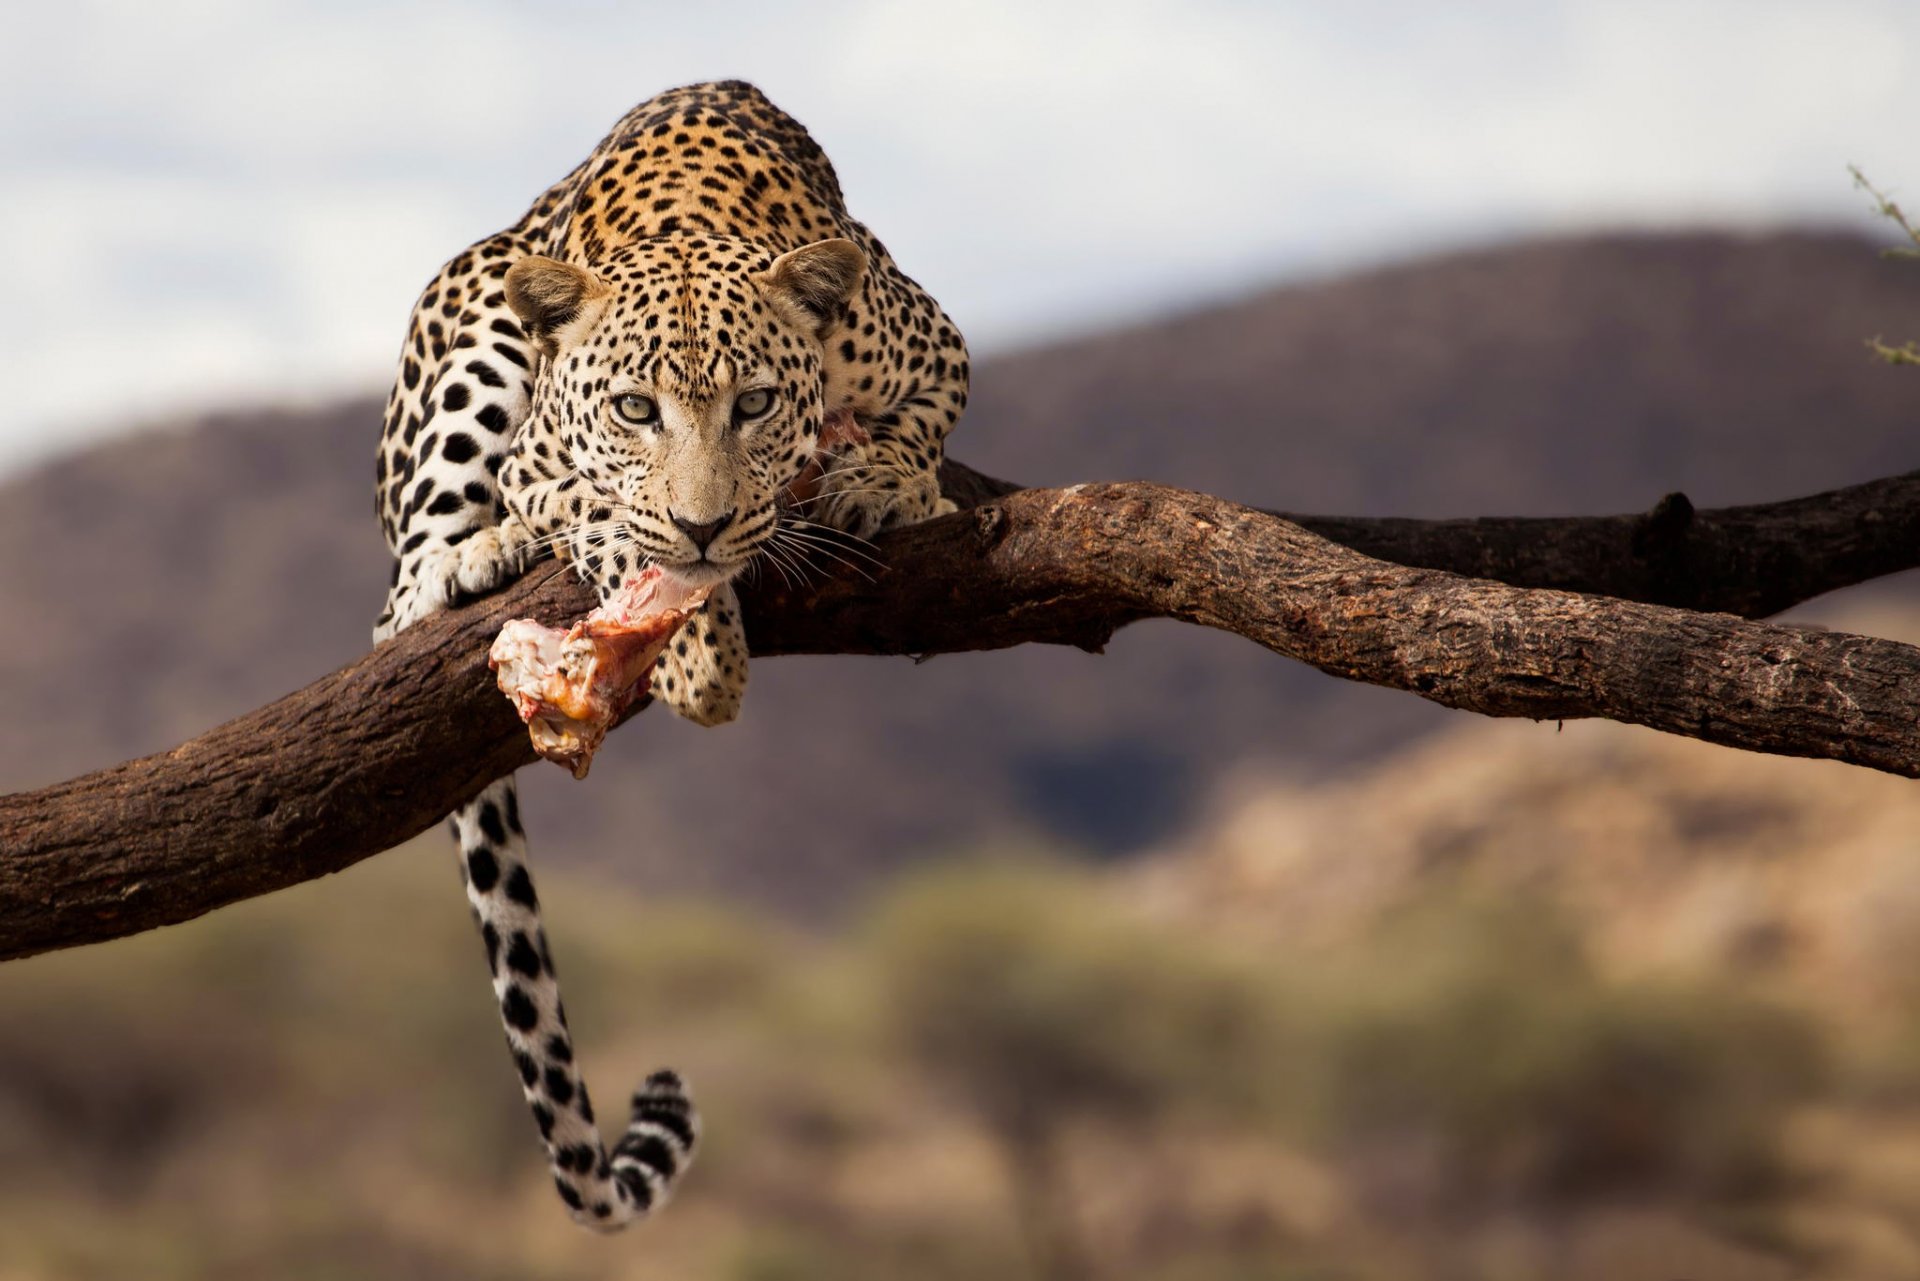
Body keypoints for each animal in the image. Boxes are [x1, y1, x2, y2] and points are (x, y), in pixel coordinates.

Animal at [371, 80, 969, 1231]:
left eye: (757, 403)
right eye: (636, 409)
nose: (706, 522)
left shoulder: (937, 348)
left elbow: (917, 428)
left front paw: (883, 481)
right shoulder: (547, 468)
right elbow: (604, 519)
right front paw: (696, 646)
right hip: (474, 334)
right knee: (395, 607)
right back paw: (472, 559)